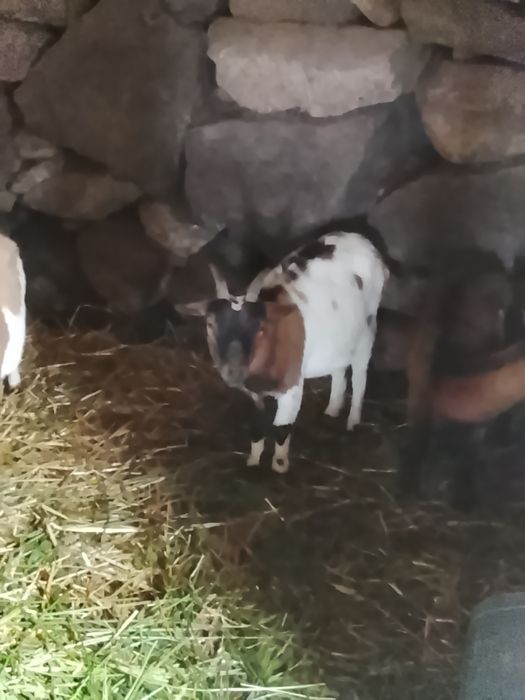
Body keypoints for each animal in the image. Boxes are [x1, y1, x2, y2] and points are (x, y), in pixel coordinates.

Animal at [205, 229, 390, 473]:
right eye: (210, 325)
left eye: (259, 328)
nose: (233, 372)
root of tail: (365, 242)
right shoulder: (252, 393)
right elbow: (256, 428)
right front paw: (253, 463)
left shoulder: (292, 387)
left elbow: (282, 429)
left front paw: (279, 469)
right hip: (339, 335)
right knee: (339, 368)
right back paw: (332, 409)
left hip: (367, 330)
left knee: (360, 374)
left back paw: (352, 421)